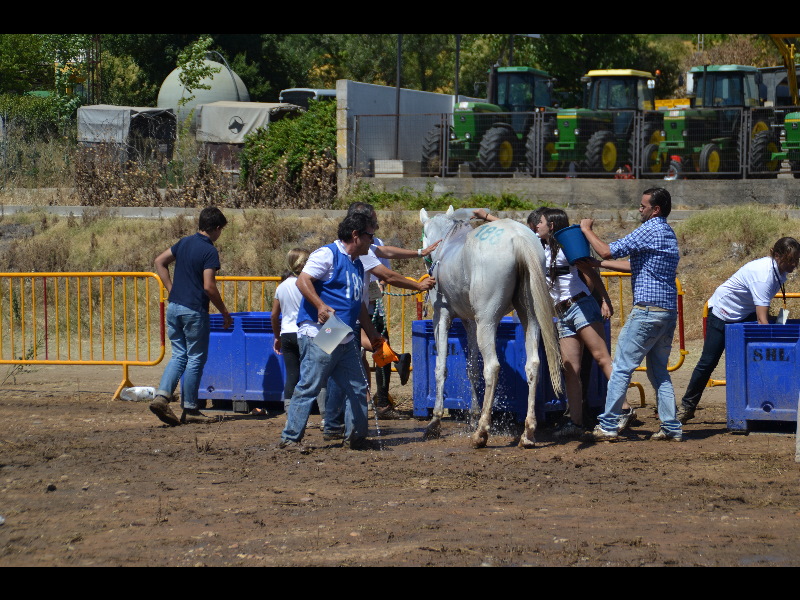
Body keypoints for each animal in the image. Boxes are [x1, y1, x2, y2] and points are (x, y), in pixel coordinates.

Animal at [422, 206, 560, 446]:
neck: (446, 244)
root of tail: (518, 238)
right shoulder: (469, 322)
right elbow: (472, 369)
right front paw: (472, 415)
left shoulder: (442, 316)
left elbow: (441, 368)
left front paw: (435, 421)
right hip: (529, 315)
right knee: (533, 364)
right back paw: (528, 432)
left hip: (487, 320)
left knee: (492, 367)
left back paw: (482, 432)